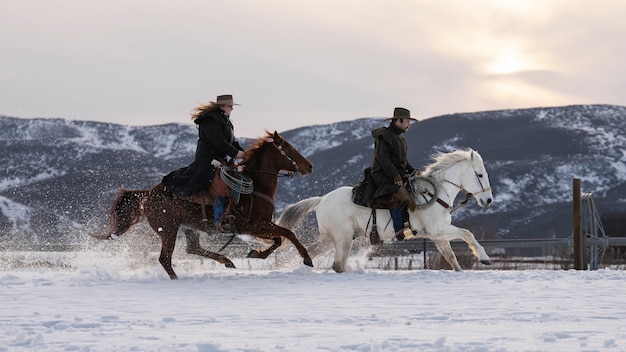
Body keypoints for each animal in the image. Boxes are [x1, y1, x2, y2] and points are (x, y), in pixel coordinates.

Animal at [94, 131, 312, 280]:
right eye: (289, 149)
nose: (309, 166)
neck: (256, 187)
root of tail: (148, 194)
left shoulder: (261, 226)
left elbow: (279, 239)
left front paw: (255, 254)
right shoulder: (255, 226)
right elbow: (287, 234)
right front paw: (307, 259)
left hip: (188, 227)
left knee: (193, 248)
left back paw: (227, 261)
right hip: (168, 229)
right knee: (165, 258)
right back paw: (178, 278)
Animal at [276, 148, 492, 272]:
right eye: (480, 174)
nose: (488, 200)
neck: (435, 193)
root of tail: (322, 200)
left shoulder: (438, 236)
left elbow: (452, 259)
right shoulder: (438, 230)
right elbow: (467, 233)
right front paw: (484, 257)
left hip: (331, 239)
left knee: (312, 251)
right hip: (343, 238)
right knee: (338, 265)